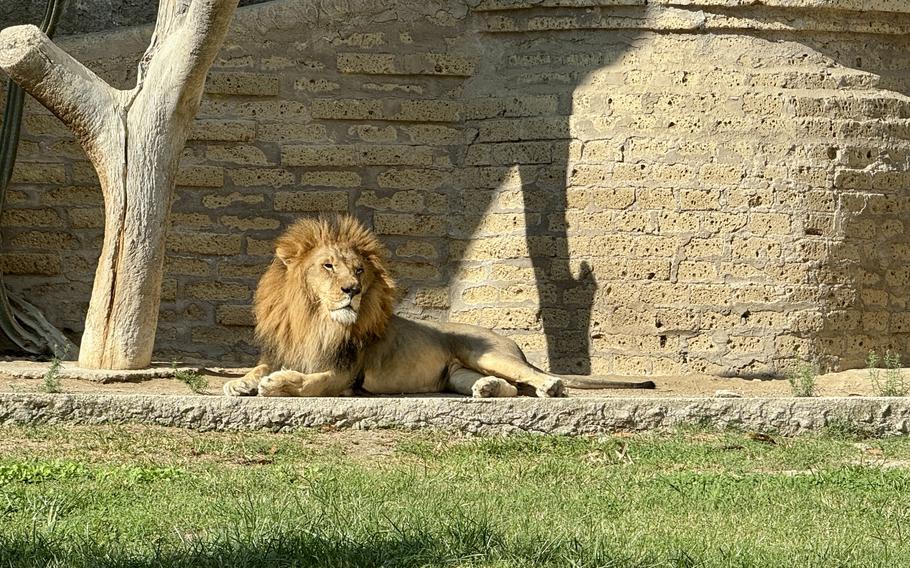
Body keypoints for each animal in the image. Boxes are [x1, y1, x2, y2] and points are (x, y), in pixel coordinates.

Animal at [223, 215, 655, 398]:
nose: (353, 290)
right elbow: (257, 368)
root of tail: (512, 344)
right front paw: (240, 382)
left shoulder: (344, 376)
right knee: (510, 389)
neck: (313, 319)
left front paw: (276, 384)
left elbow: (307, 381)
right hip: (458, 374)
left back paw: (549, 386)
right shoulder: (282, 351)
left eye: (359, 270)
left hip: (488, 353)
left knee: (537, 378)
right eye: (328, 266)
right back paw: (486, 389)